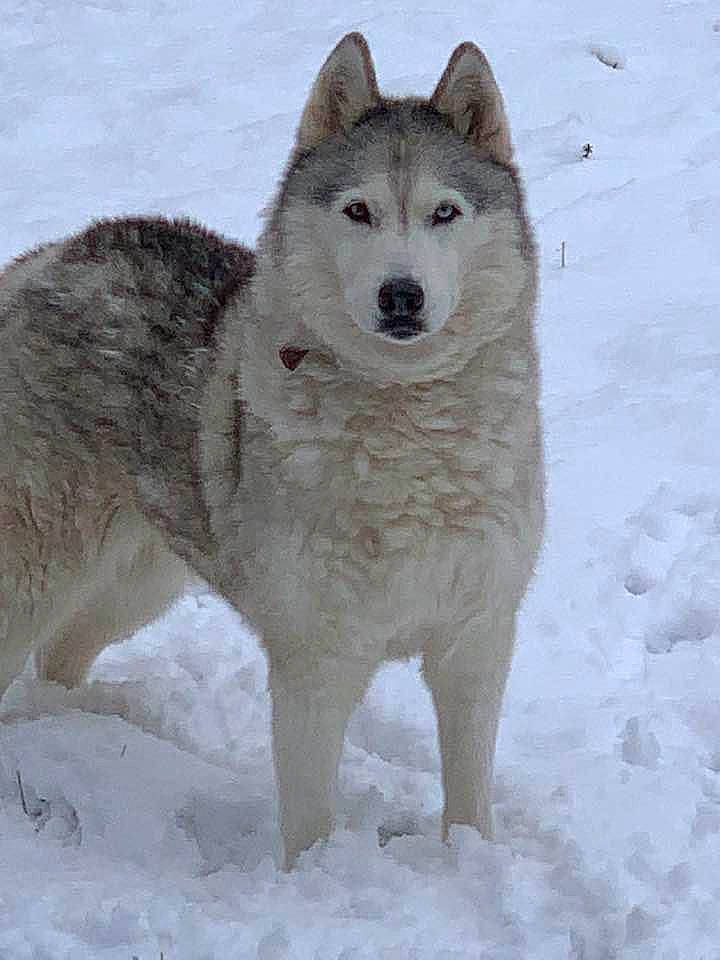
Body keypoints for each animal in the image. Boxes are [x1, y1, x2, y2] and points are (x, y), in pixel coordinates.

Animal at [0, 33, 544, 868]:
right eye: (359, 211)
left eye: (444, 213)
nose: (402, 294)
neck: (407, 423)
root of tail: (51, 255)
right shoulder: (315, 659)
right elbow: (311, 817)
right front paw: (317, 880)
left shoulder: (476, 638)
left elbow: (470, 798)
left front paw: (470, 863)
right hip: (41, 571)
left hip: (143, 575)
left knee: (60, 657)